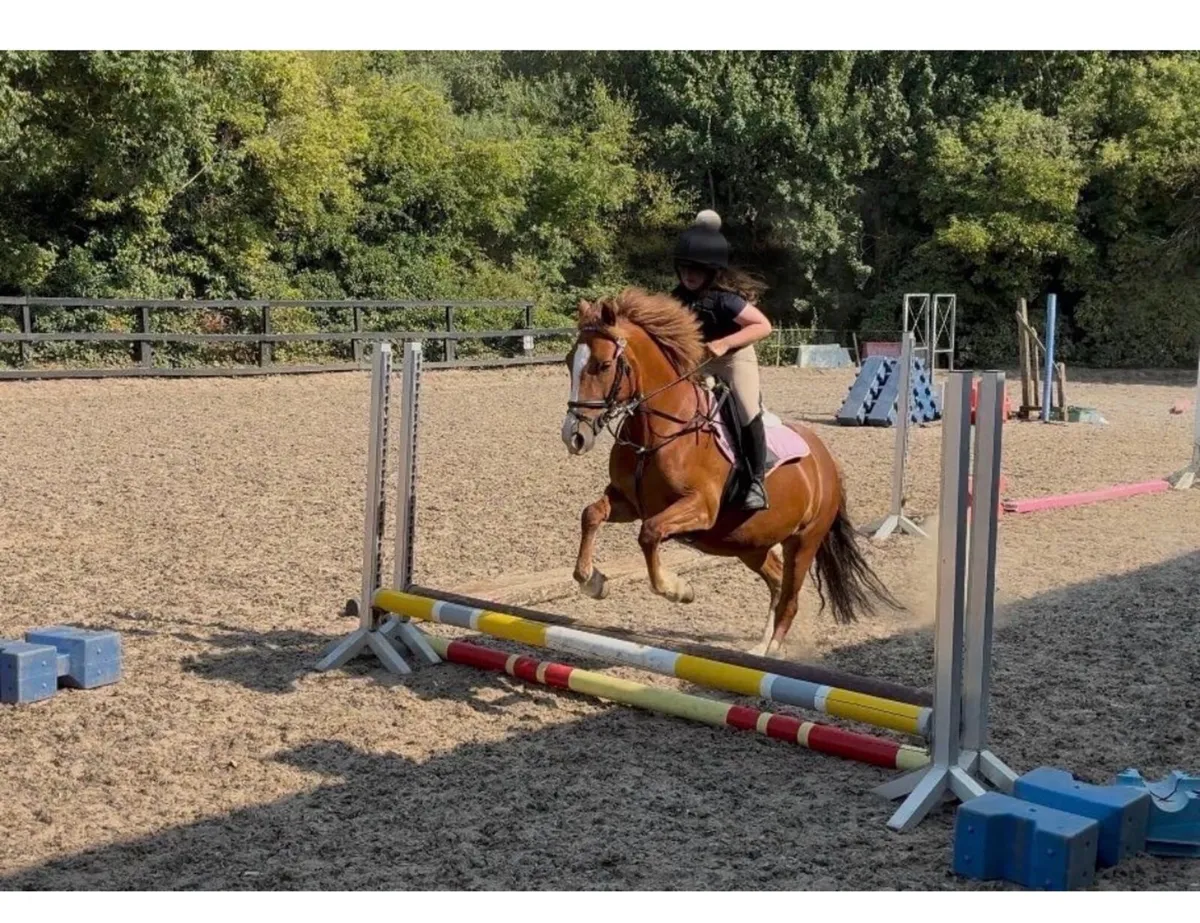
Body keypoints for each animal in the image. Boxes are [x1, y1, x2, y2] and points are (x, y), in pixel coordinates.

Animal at [560, 288, 900, 656]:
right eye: (569, 361)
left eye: (604, 365)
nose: (574, 437)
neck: (658, 431)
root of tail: (827, 461)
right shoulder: (628, 501)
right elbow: (591, 514)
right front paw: (593, 582)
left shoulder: (700, 508)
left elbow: (649, 534)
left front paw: (678, 589)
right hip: (750, 544)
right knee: (776, 581)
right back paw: (759, 647)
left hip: (804, 541)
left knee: (790, 597)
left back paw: (772, 651)